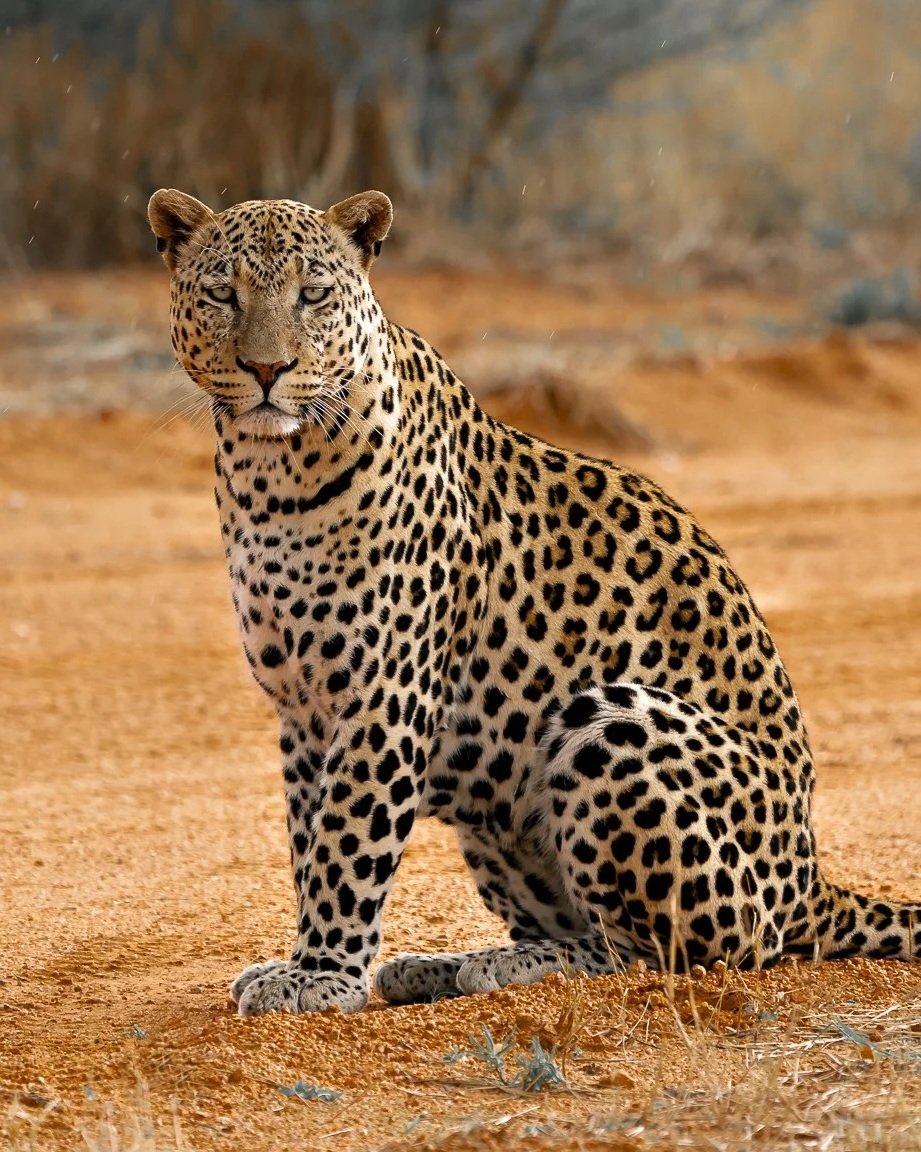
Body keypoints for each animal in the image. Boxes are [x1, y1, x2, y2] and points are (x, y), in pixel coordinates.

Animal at [147, 186, 921, 1017]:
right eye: (223, 294)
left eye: (312, 295)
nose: (266, 368)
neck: (271, 473)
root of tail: (811, 878)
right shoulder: (301, 709)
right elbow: (308, 839)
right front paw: (312, 962)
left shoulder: (385, 691)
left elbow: (349, 839)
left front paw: (322, 974)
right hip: (495, 810)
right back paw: (444, 964)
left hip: (612, 722)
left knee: (675, 950)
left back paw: (492, 965)